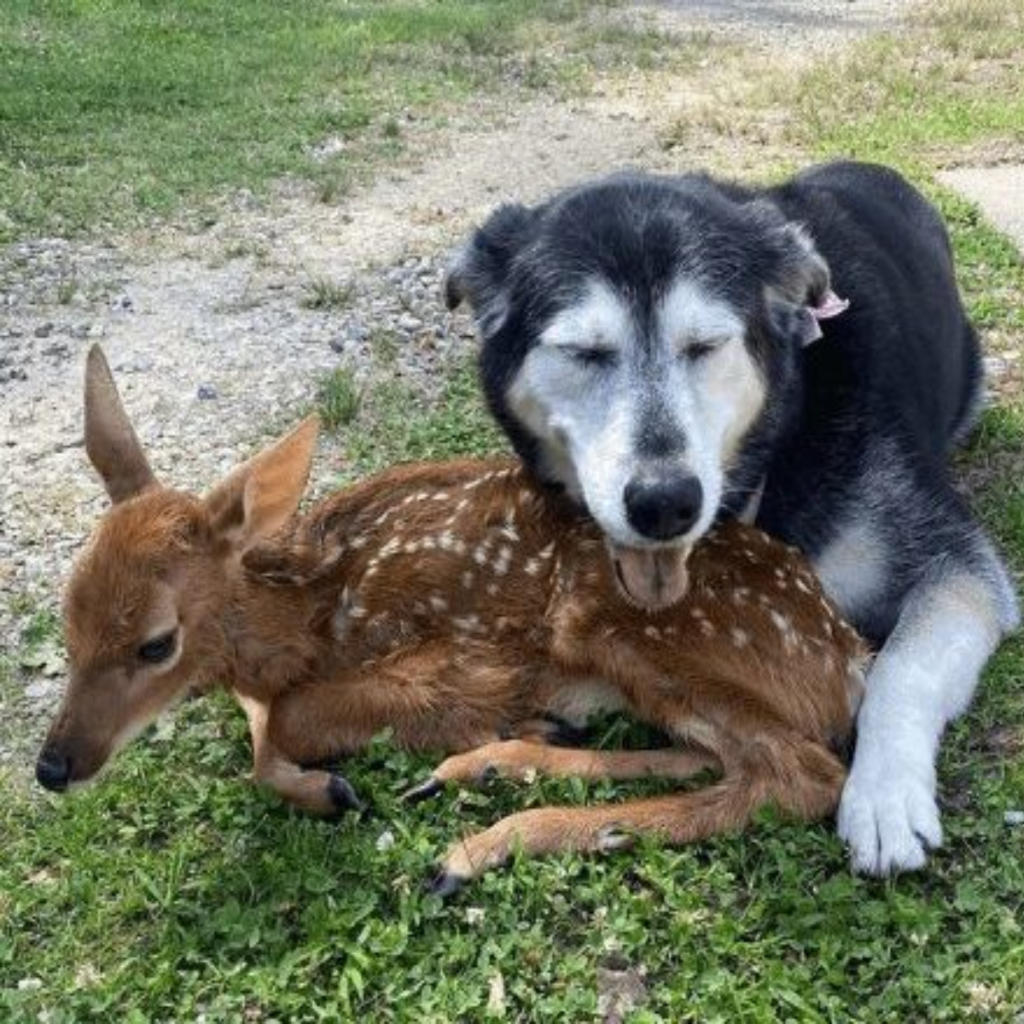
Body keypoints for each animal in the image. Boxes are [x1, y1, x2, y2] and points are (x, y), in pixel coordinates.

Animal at [41, 344, 872, 888]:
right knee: (720, 755)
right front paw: (328, 786)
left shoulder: (462, 659)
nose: (54, 767)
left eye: (156, 644)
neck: (304, 621)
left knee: (801, 774)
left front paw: (339, 781)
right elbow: (261, 728)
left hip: (616, 621)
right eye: (67, 622)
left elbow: (289, 722)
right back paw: (498, 764)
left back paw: (485, 843)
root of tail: (846, 655)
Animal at [446, 161, 1015, 880]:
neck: (778, 443)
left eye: (706, 345)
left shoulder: (957, 566)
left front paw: (883, 796)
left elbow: (900, 666)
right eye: (584, 352)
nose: (665, 502)